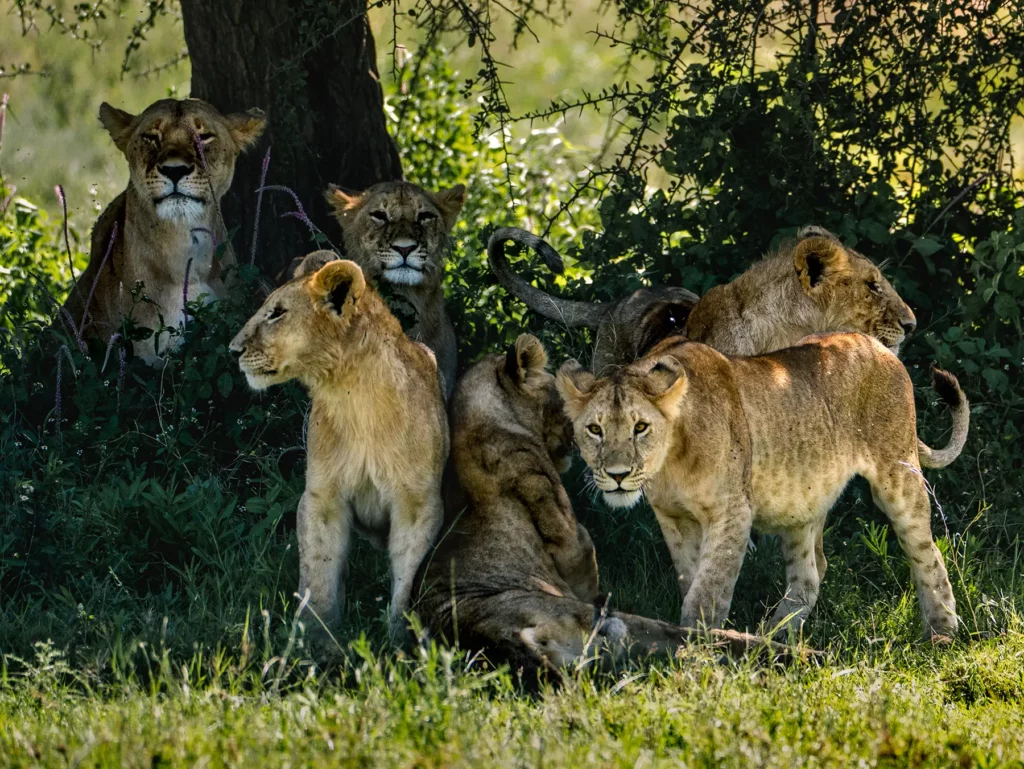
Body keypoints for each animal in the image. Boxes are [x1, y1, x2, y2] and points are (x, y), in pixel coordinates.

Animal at [229, 254, 448, 642]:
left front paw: (400, 638)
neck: (352, 397)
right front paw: (314, 636)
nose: (233, 349)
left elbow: (408, 575)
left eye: (277, 313)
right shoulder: (322, 496)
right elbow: (319, 569)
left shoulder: (418, 503)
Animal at [413, 334, 795, 677]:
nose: (573, 434)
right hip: (602, 616)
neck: (476, 423)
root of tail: (492, 639)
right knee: (694, 639)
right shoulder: (574, 542)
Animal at [557, 332, 969, 641]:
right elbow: (690, 577)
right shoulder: (672, 518)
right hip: (801, 498)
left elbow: (709, 589)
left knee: (927, 551)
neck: (671, 460)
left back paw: (942, 632)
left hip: (898, 474)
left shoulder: (733, 511)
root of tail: (877, 345)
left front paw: (698, 646)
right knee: (810, 574)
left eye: (640, 427)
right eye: (594, 429)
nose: (618, 474)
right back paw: (774, 637)